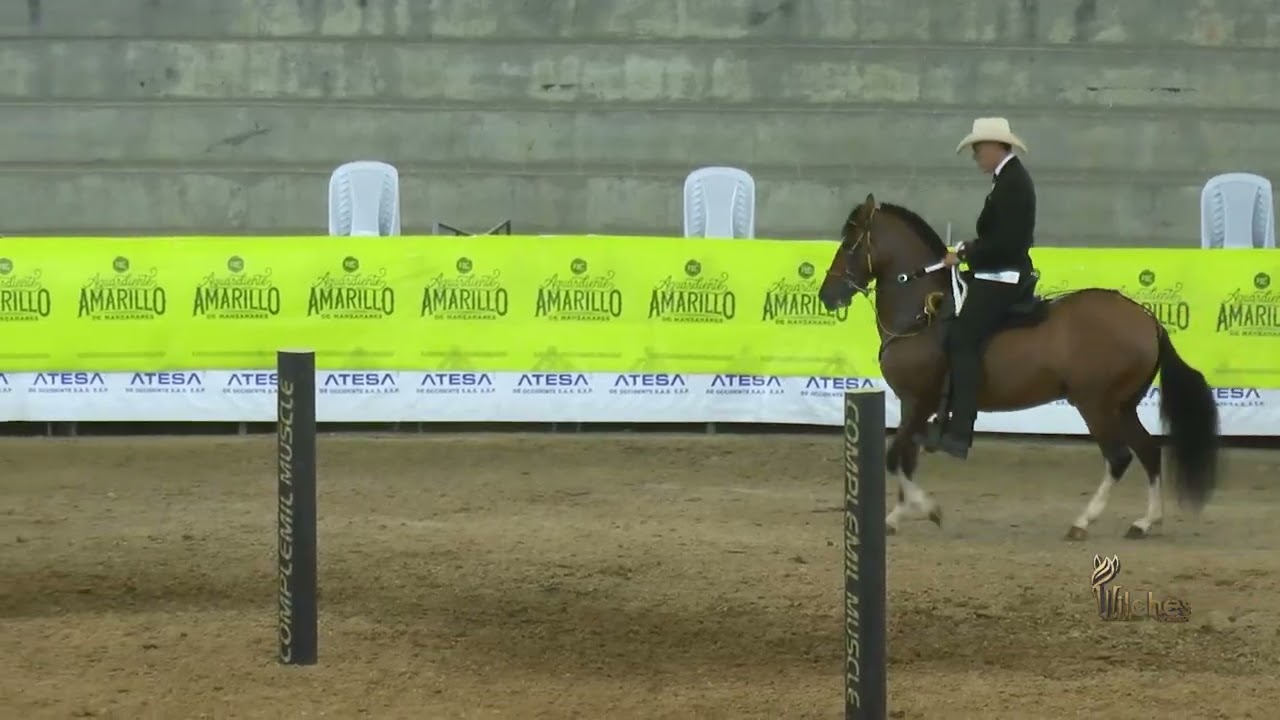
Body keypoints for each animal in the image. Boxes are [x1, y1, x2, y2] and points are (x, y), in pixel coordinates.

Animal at [818, 193, 1220, 541]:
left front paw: (928, 510)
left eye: (850, 242)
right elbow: (905, 458)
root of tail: (1148, 319)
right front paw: (899, 516)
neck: (923, 312)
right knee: (1149, 451)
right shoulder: (911, 405)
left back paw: (1083, 522)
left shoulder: (920, 401)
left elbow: (894, 457)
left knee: (1118, 457)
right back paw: (1145, 522)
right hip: (1123, 406)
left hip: (1096, 404)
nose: (827, 295)